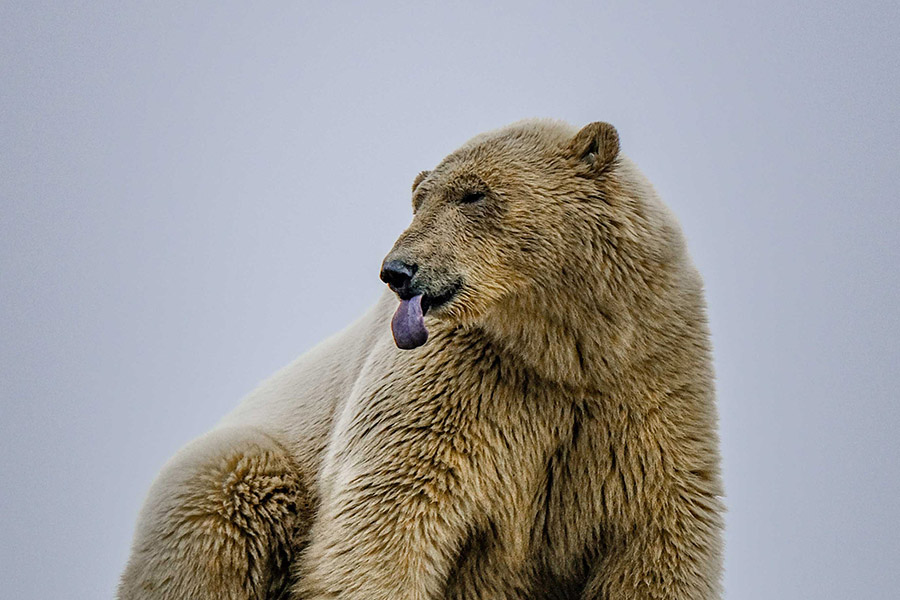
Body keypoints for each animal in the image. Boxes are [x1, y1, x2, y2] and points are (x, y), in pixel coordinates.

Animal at [118, 119, 724, 600]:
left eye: (474, 195)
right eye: (420, 197)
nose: (397, 270)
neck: (560, 352)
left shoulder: (649, 383)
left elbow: (658, 537)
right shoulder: (454, 382)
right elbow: (390, 512)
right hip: (246, 470)